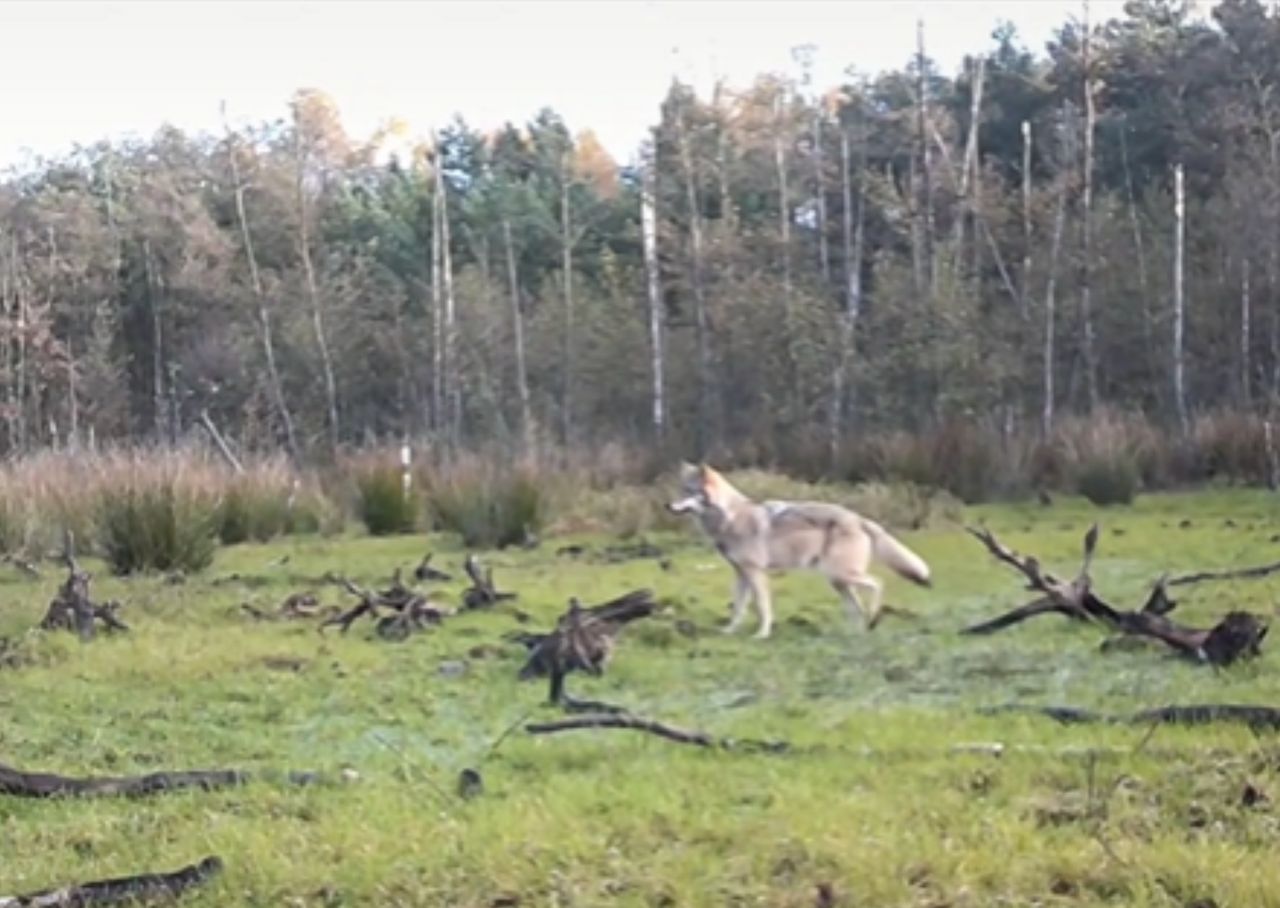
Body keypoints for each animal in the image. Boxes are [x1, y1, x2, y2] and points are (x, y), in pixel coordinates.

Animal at [670, 461, 931, 637]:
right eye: (680, 489)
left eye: (689, 491)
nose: (667, 505)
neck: (729, 519)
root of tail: (859, 518)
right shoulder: (741, 575)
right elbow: (738, 608)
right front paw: (729, 631)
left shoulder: (755, 573)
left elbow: (762, 606)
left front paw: (762, 634)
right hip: (838, 581)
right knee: (856, 608)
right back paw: (856, 633)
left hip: (841, 575)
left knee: (878, 583)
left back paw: (874, 619)